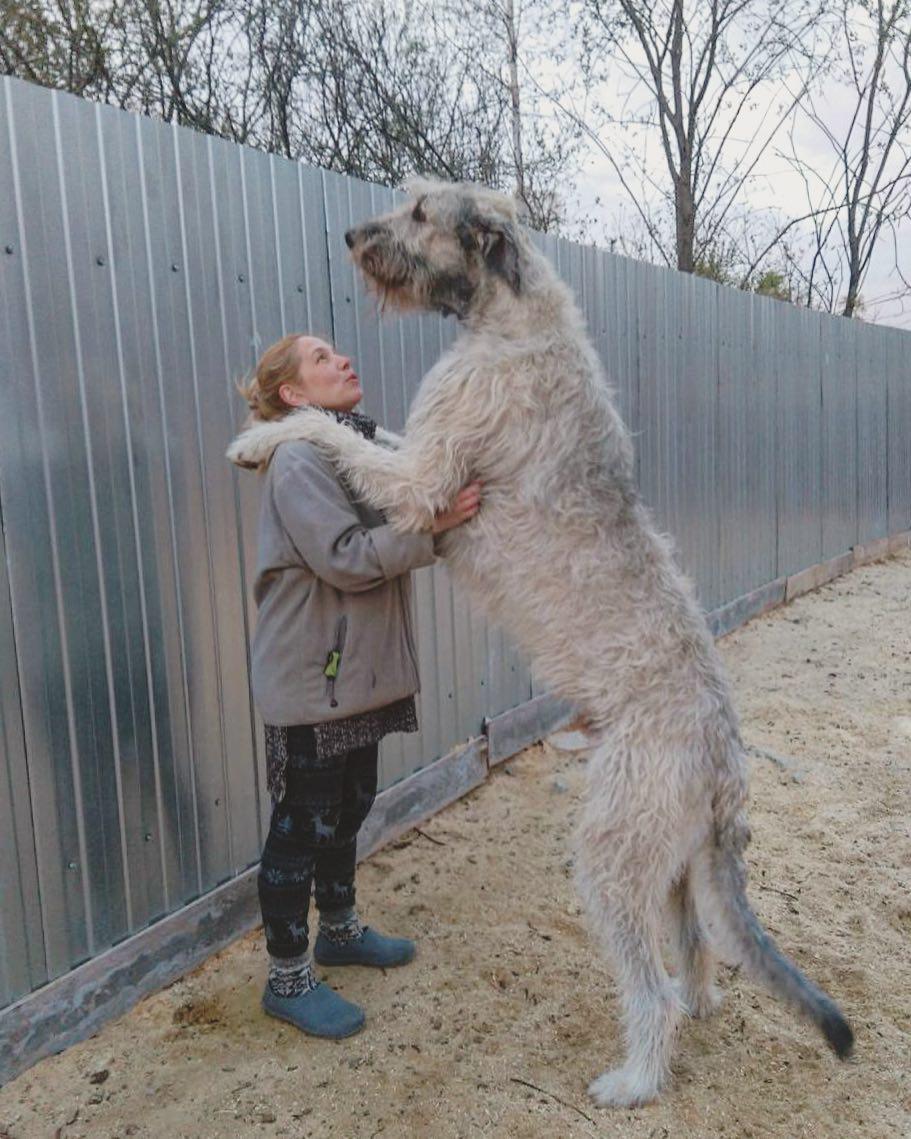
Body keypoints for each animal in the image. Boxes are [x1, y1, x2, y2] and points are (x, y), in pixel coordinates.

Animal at [227, 177, 856, 1102]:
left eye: (421, 212)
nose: (350, 235)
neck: (510, 316)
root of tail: (722, 755)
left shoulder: (424, 475)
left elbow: (335, 433)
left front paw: (261, 436)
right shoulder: (419, 448)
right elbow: (362, 431)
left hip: (612, 849)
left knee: (649, 984)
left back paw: (634, 1078)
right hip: (670, 855)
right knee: (696, 947)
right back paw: (697, 1004)